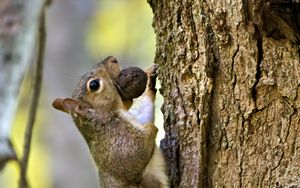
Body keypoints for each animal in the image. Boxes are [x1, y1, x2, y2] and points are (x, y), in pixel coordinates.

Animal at [51, 56, 169, 187]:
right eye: (94, 85)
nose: (112, 58)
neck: (105, 119)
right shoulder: (120, 144)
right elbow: (137, 156)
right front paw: (151, 128)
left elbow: (144, 112)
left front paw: (150, 80)